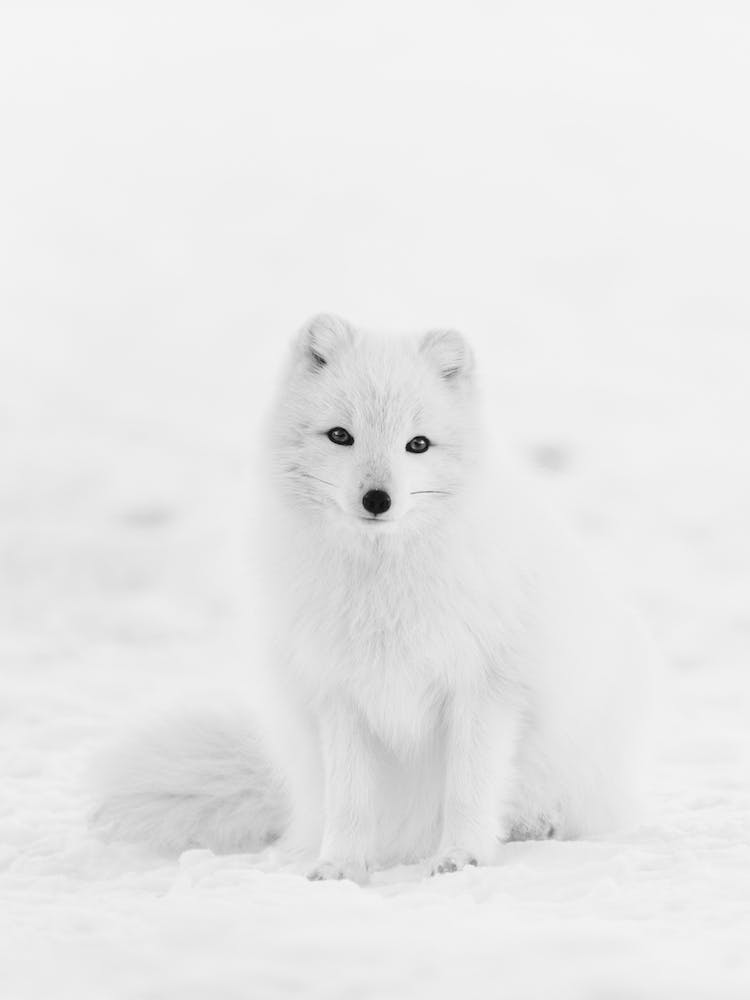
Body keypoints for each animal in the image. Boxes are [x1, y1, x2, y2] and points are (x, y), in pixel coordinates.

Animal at [93, 313, 651, 882]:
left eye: (418, 444)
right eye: (341, 435)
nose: (377, 499)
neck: (383, 585)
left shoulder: (484, 687)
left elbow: (468, 790)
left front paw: (462, 857)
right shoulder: (339, 694)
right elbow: (350, 800)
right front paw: (340, 866)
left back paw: (536, 825)